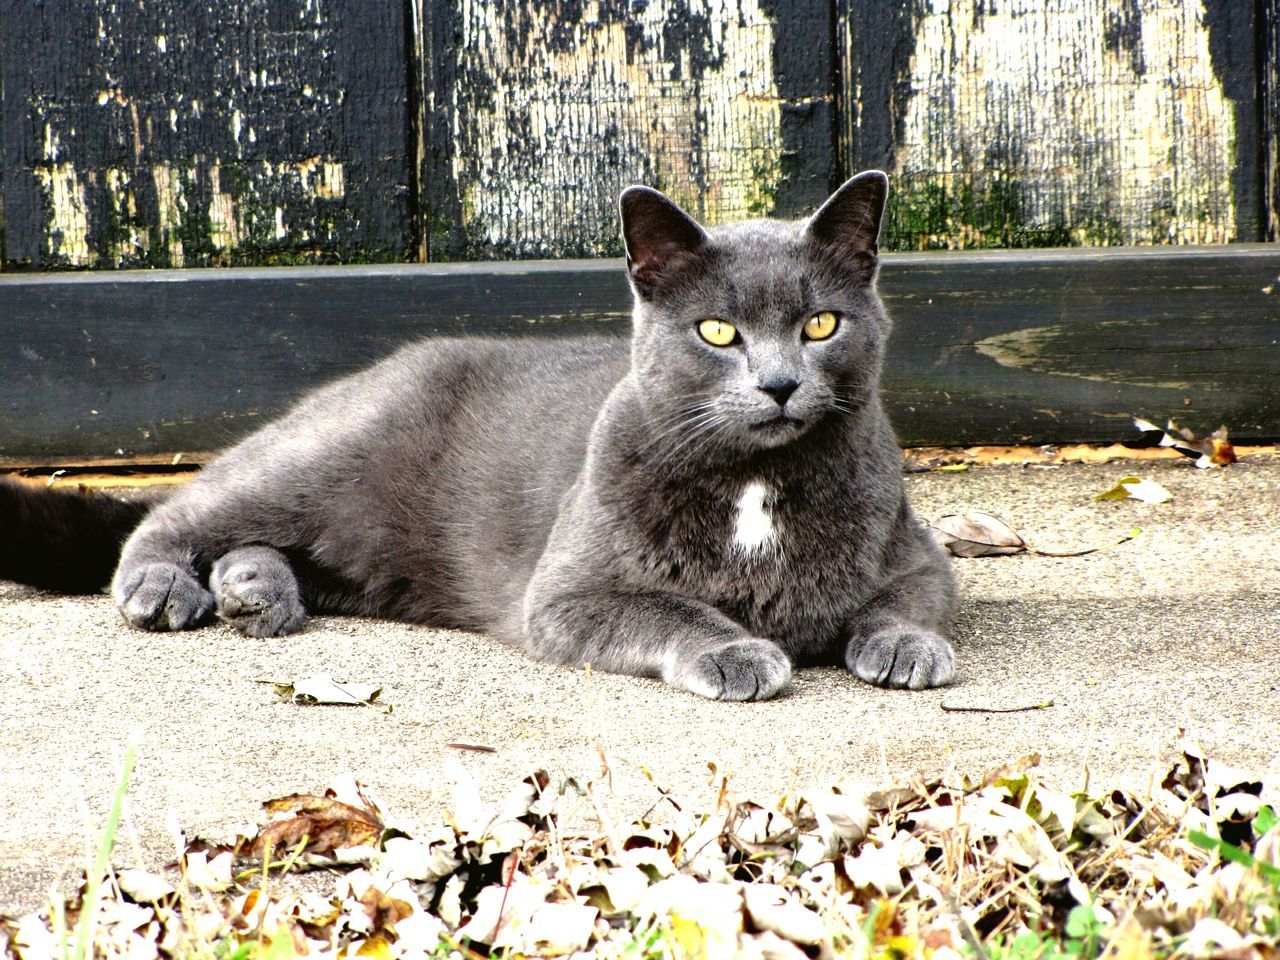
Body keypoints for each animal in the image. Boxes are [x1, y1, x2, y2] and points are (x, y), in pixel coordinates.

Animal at [0, 172, 957, 701]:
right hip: (325, 456)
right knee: (179, 511)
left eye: (821, 324)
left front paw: (907, 645)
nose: (780, 383)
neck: (755, 488)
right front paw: (734, 650)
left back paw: (253, 591)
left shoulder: (919, 553)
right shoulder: (569, 593)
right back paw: (168, 586)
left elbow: (911, 596)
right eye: (717, 333)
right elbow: (670, 607)